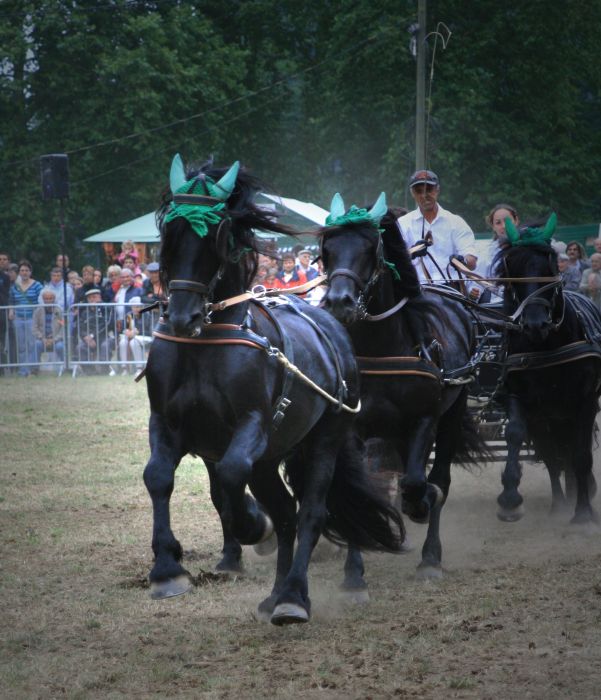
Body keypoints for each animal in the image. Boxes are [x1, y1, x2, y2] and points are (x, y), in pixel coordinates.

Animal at [144, 156, 404, 628]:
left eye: (217, 232)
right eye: (170, 231)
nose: (183, 316)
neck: (206, 342)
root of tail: (333, 324)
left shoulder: (252, 426)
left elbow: (232, 477)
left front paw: (251, 525)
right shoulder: (166, 422)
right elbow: (158, 477)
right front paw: (167, 570)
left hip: (325, 438)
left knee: (311, 511)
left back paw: (296, 596)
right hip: (271, 457)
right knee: (286, 514)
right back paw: (277, 593)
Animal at [318, 194, 482, 576]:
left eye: (370, 249)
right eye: (327, 250)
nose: (338, 302)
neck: (381, 349)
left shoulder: (425, 419)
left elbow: (419, 483)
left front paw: (419, 509)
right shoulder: (356, 427)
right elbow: (361, 487)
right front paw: (354, 572)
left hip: (452, 411)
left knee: (438, 479)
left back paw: (430, 553)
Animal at [492, 216, 600, 524]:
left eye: (551, 266)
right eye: (511, 268)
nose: (535, 324)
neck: (546, 346)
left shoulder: (586, 400)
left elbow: (580, 454)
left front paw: (584, 512)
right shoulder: (519, 396)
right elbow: (516, 434)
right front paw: (510, 499)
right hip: (547, 417)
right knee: (552, 454)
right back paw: (559, 505)